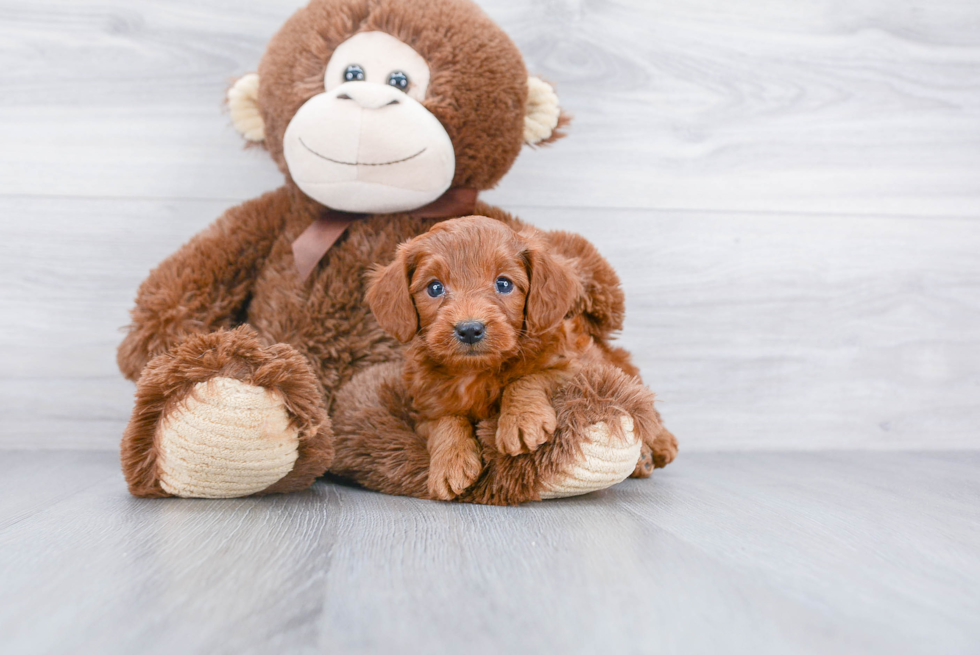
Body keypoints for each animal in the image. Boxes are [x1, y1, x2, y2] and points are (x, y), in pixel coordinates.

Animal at [368, 218, 644, 500]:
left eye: (503, 284)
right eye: (435, 287)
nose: (470, 329)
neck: (476, 371)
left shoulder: (575, 366)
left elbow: (529, 378)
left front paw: (521, 419)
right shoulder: (424, 411)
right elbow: (445, 420)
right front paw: (450, 461)